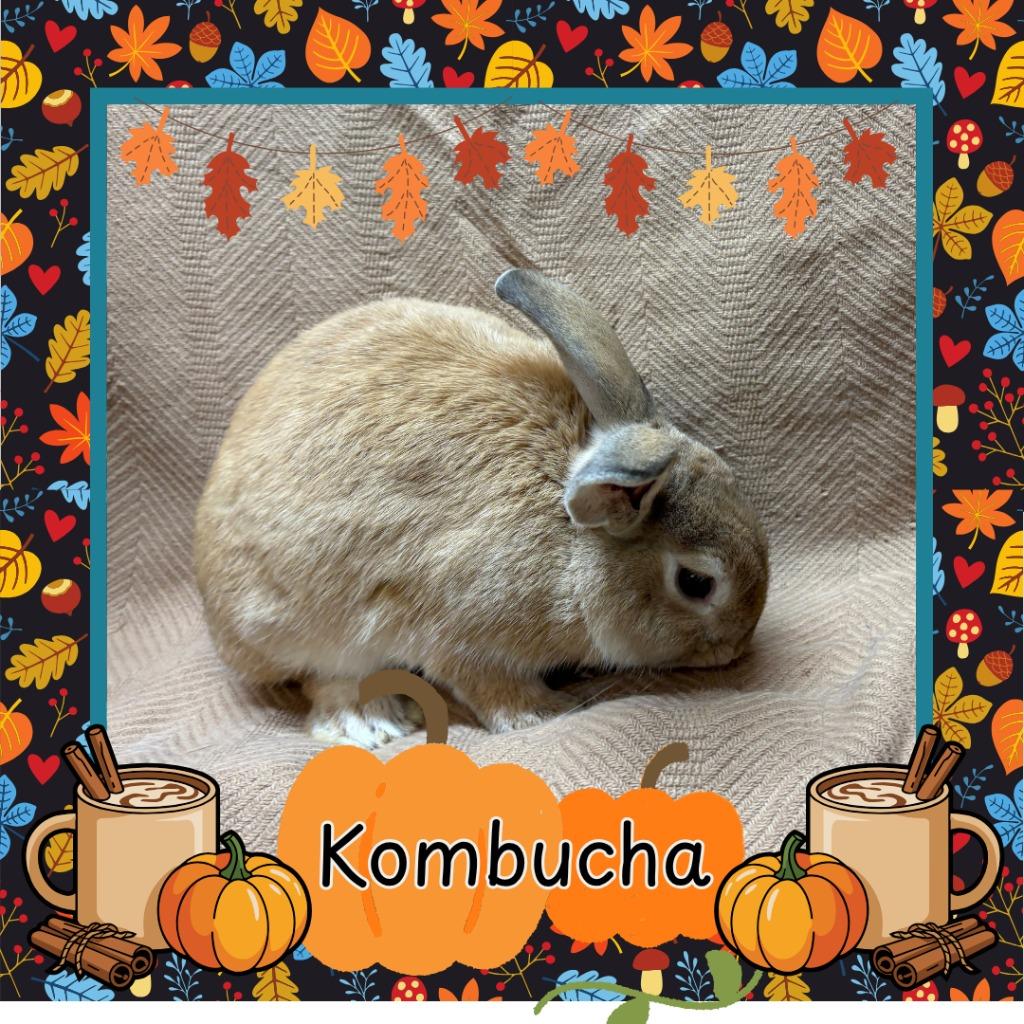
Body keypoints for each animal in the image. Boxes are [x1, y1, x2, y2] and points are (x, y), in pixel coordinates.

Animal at [194, 270, 769, 749]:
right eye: (696, 583)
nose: (735, 651)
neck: (573, 544)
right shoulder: (464, 637)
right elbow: (490, 687)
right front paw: (548, 712)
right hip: (311, 634)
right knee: (328, 680)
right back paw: (375, 727)